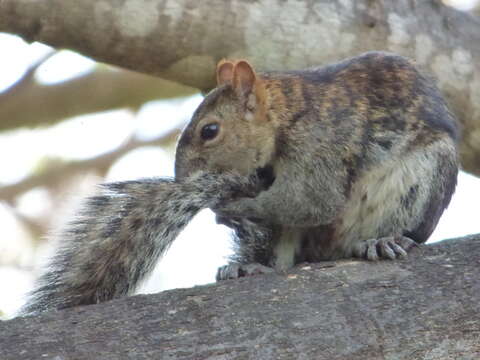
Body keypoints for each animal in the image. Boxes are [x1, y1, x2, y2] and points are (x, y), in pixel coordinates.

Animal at [21, 51, 458, 316]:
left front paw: (229, 205)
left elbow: (312, 200)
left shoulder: (321, 143)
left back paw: (383, 241)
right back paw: (249, 267)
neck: (288, 111)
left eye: (210, 131)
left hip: (423, 180)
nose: (182, 180)